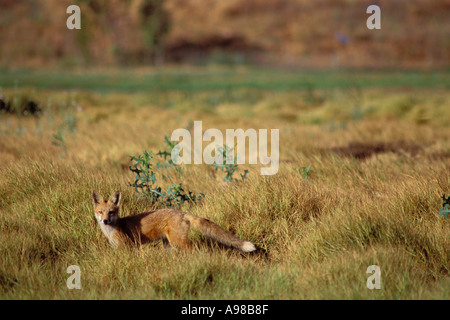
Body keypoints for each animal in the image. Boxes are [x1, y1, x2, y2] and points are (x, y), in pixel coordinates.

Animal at [91, 190, 256, 252]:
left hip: (178, 242)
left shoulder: (128, 247)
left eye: (111, 212)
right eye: (100, 212)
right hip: (168, 245)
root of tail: (182, 213)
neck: (111, 231)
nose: (105, 220)